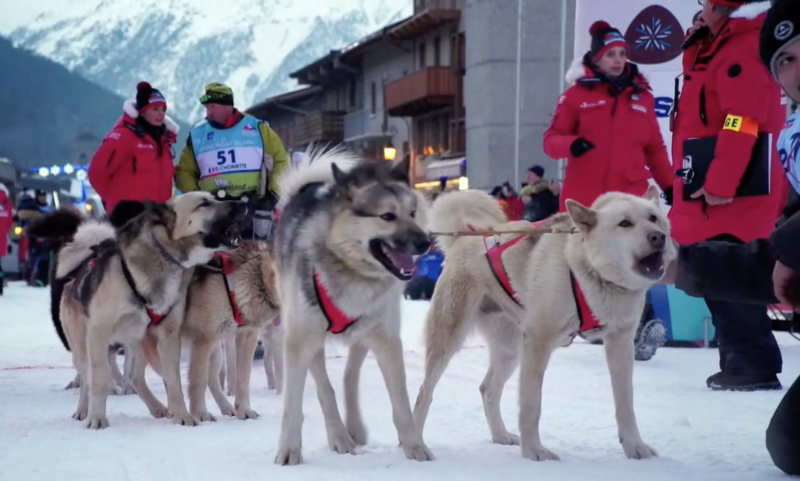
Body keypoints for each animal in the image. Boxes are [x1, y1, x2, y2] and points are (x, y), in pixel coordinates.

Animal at [272, 146, 434, 464]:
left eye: (412, 213)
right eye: (387, 215)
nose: (425, 242)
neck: (352, 270)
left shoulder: (387, 340)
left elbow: (402, 404)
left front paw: (414, 446)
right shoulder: (299, 341)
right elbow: (292, 408)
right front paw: (288, 449)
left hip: (365, 332)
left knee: (349, 376)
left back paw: (353, 429)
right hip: (308, 335)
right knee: (325, 387)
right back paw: (339, 435)